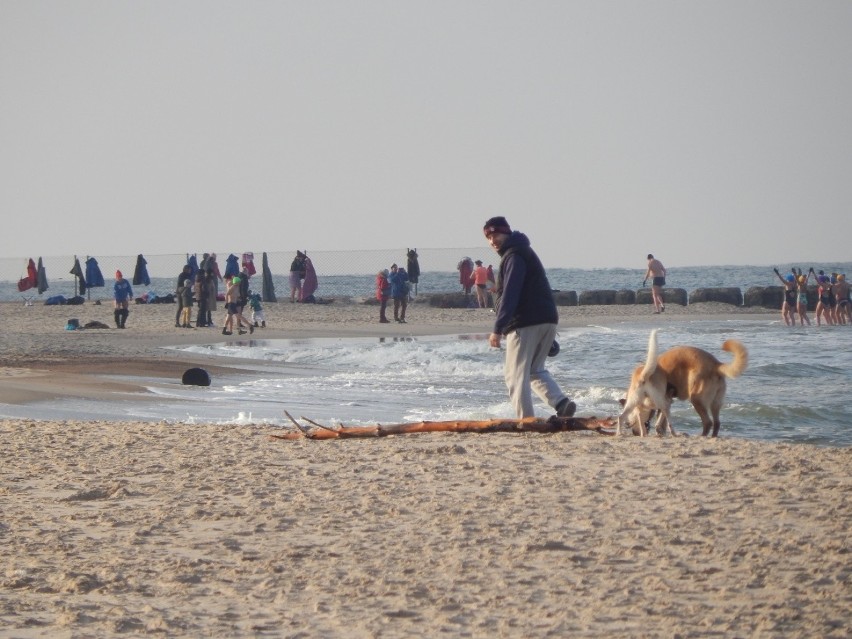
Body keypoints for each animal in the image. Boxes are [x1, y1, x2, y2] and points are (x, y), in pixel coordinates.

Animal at [616, 328, 748, 438]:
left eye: (629, 423)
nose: (635, 433)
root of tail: (716, 365)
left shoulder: (666, 402)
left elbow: (661, 420)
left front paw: (660, 431)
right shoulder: (666, 402)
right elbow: (662, 421)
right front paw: (660, 432)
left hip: (697, 400)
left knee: (708, 422)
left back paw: (701, 436)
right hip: (713, 403)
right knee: (715, 423)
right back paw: (710, 437)